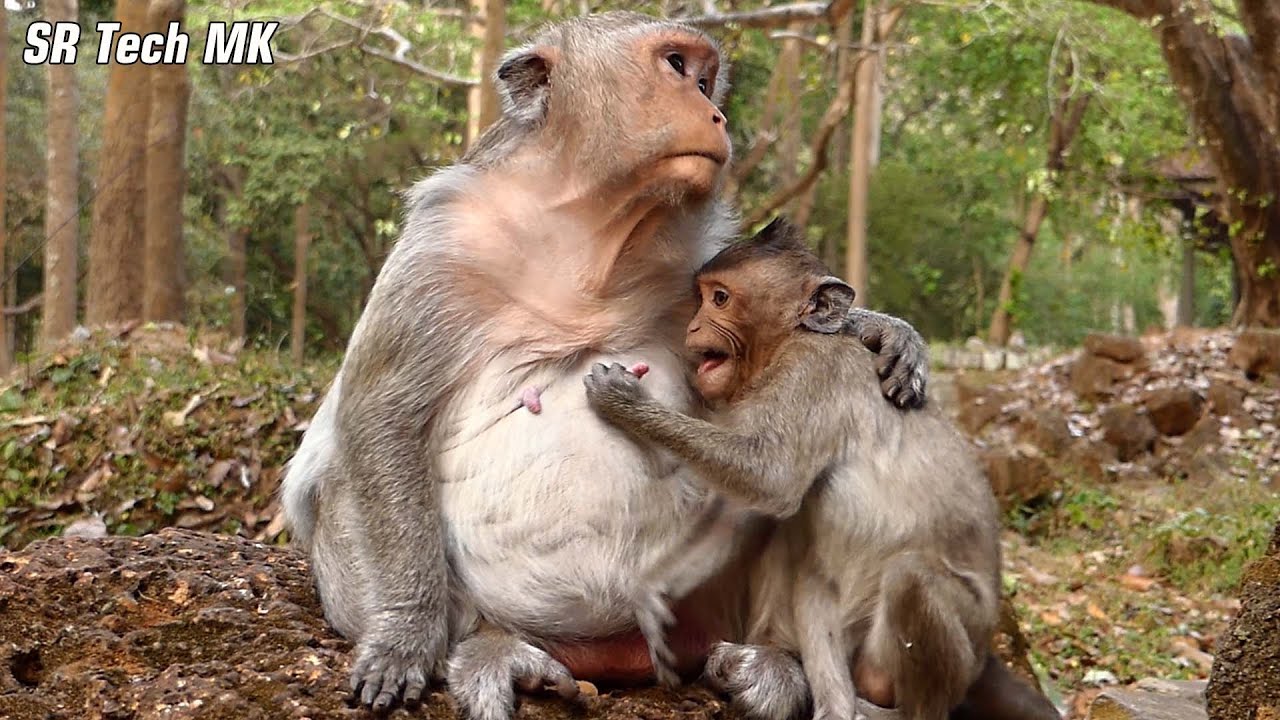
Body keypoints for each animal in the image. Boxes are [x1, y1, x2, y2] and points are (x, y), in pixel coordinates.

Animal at [279, 12, 934, 719]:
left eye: (705, 78)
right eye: (675, 66)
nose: (714, 113)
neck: (589, 237)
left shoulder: (693, 262)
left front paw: (878, 330)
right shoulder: (446, 242)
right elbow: (383, 413)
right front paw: (406, 632)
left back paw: (765, 666)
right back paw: (499, 653)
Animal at [584, 218, 1061, 720]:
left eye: (720, 298)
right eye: (701, 297)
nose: (693, 325)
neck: (786, 342)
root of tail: (986, 657)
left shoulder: (810, 372)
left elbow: (767, 479)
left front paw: (624, 401)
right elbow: (752, 509)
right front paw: (657, 596)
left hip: (954, 651)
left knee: (911, 577)